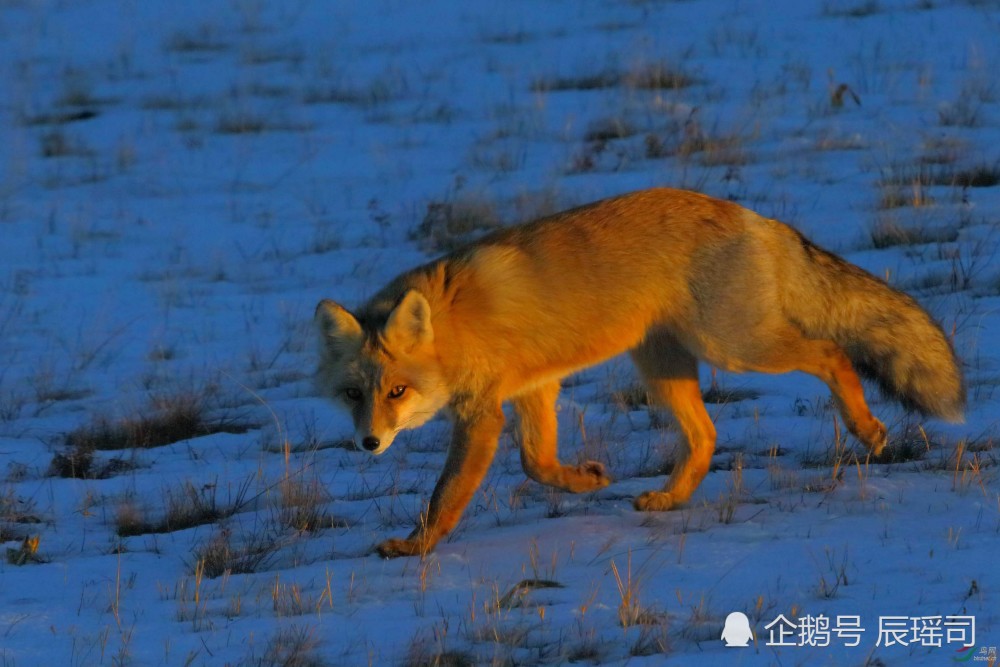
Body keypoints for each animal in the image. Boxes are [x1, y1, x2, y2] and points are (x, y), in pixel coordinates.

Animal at [316, 188, 964, 560]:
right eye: (353, 394)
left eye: (398, 391)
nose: (368, 442)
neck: (453, 328)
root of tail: (750, 214)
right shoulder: (533, 388)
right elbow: (537, 464)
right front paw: (586, 481)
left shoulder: (482, 413)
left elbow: (446, 495)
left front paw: (416, 547)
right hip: (663, 365)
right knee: (706, 436)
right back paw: (671, 498)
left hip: (735, 346)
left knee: (831, 354)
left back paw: (867, 430)